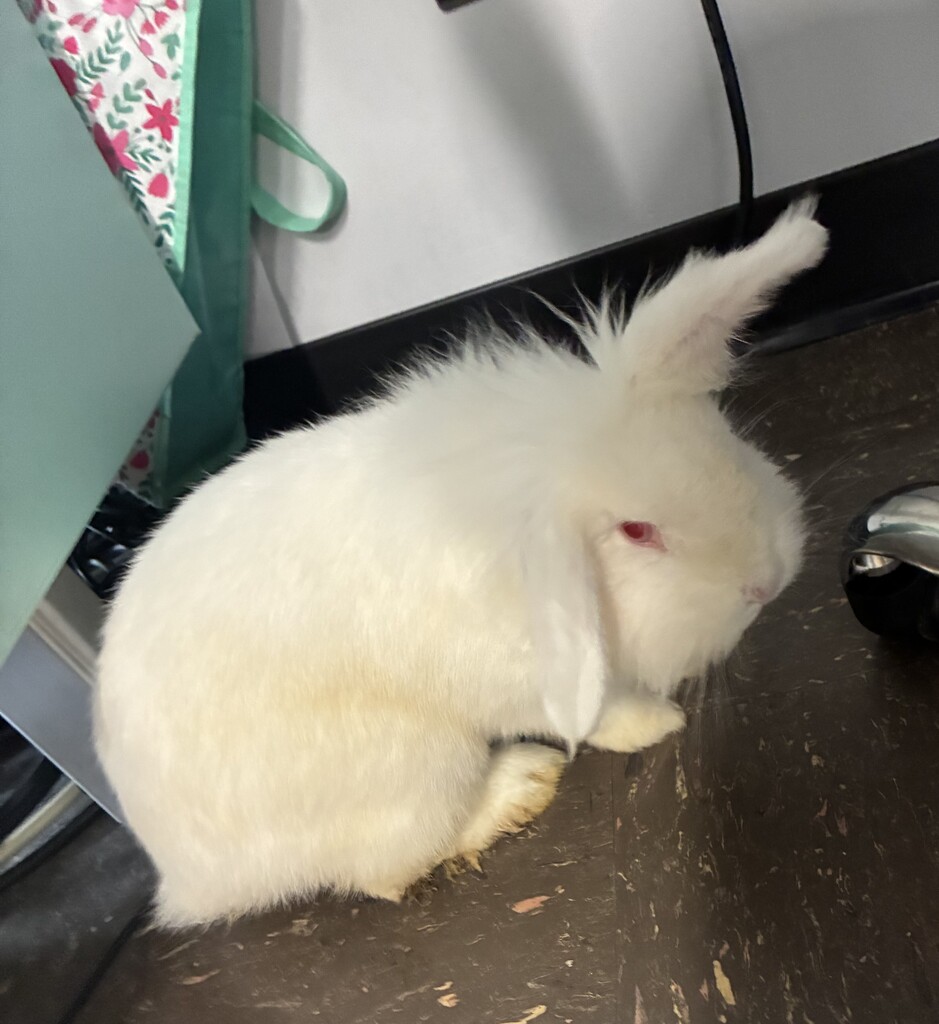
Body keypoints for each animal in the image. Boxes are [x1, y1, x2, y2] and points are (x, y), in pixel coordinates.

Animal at [94, 199, 827, 928]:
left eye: (726, 441)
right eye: (637, 531)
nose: (766, 583)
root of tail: (189, 882)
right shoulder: (523, 679)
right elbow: (602, 709)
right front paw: (657, 722)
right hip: (421, 766)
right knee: (388, 870)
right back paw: (520, 786)